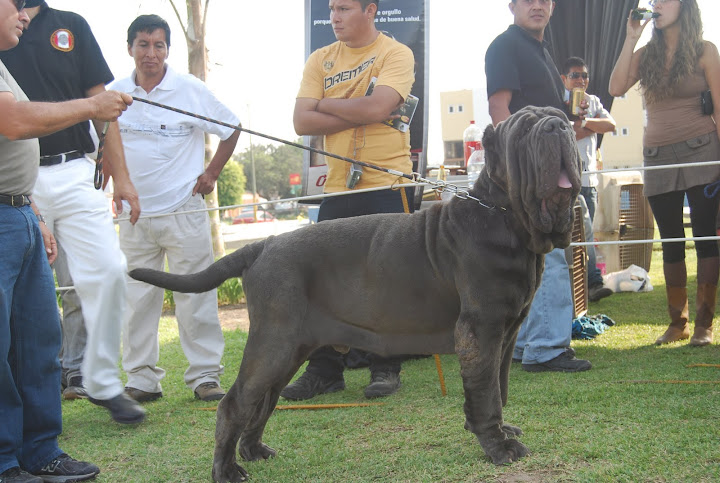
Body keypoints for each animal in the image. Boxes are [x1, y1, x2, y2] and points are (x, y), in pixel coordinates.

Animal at [128, 107, 580, 483]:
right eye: (525, 128)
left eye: (561, 118)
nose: (558, 127)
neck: (505, 215)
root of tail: (264, 243)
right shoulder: (481, 331)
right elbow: (486, 394)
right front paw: (498, 446)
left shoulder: (504, 334)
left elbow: (497, 387)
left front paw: (500, 430)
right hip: (273, 343)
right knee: (234, 404)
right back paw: (226, 470)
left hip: (288, 350)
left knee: (263, 403)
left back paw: (254, 451)